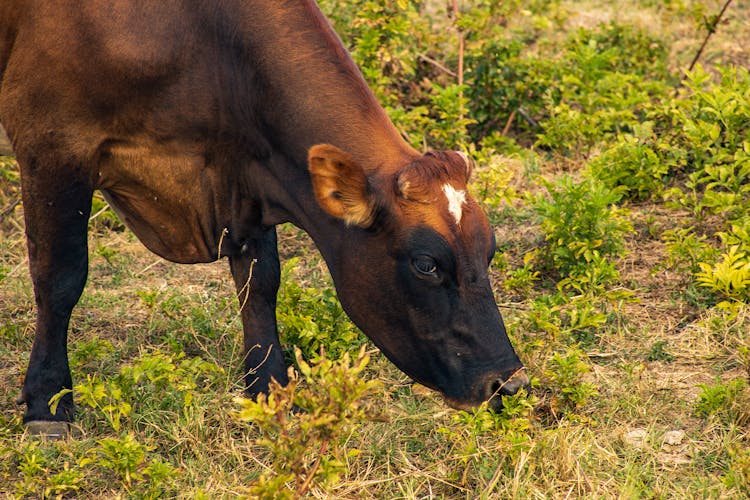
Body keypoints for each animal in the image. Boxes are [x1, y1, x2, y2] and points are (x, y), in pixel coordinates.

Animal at [0, 0, 532, 434]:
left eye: (489, 252)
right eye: (426, 264)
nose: (506, 384)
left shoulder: (250, 172)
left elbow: (260, 283)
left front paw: (269, 389)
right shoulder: (51, 142)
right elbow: (61, 277)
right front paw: (48, 402)